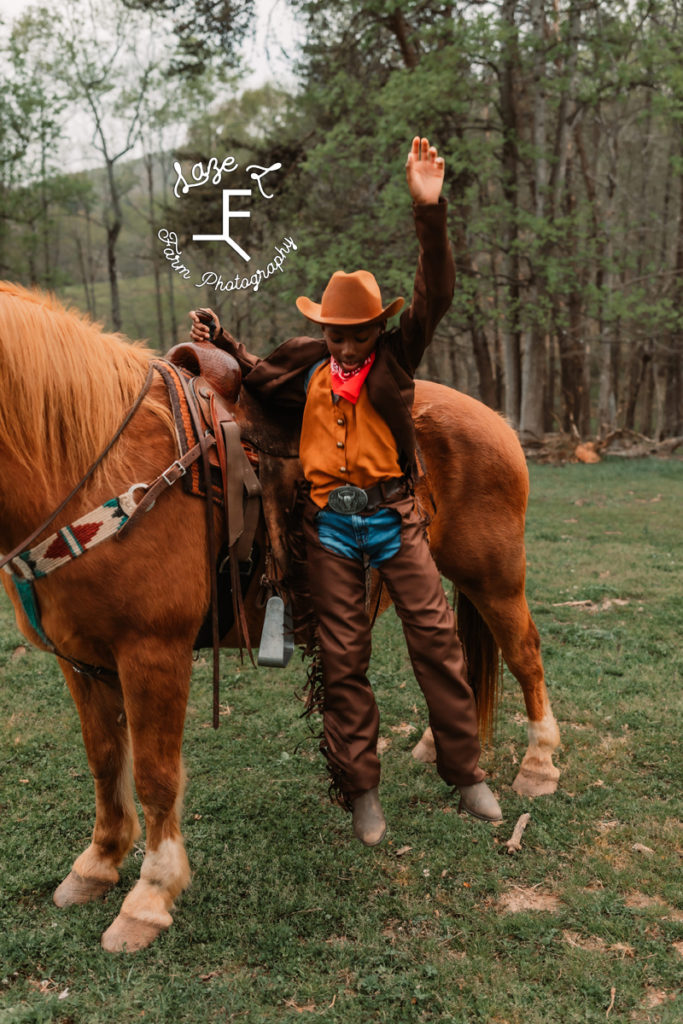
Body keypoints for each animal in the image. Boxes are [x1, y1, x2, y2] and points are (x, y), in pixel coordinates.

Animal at [0, 280, 561, 950]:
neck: (95, 462)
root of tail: (493, 418)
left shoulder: (152, 652)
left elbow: (156, 774)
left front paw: (150, 897)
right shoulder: (83, 660)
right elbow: (105, 760)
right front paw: (98, 864)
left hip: (494, 576)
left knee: (523, 653)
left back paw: (538, 765)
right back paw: (438, 746)